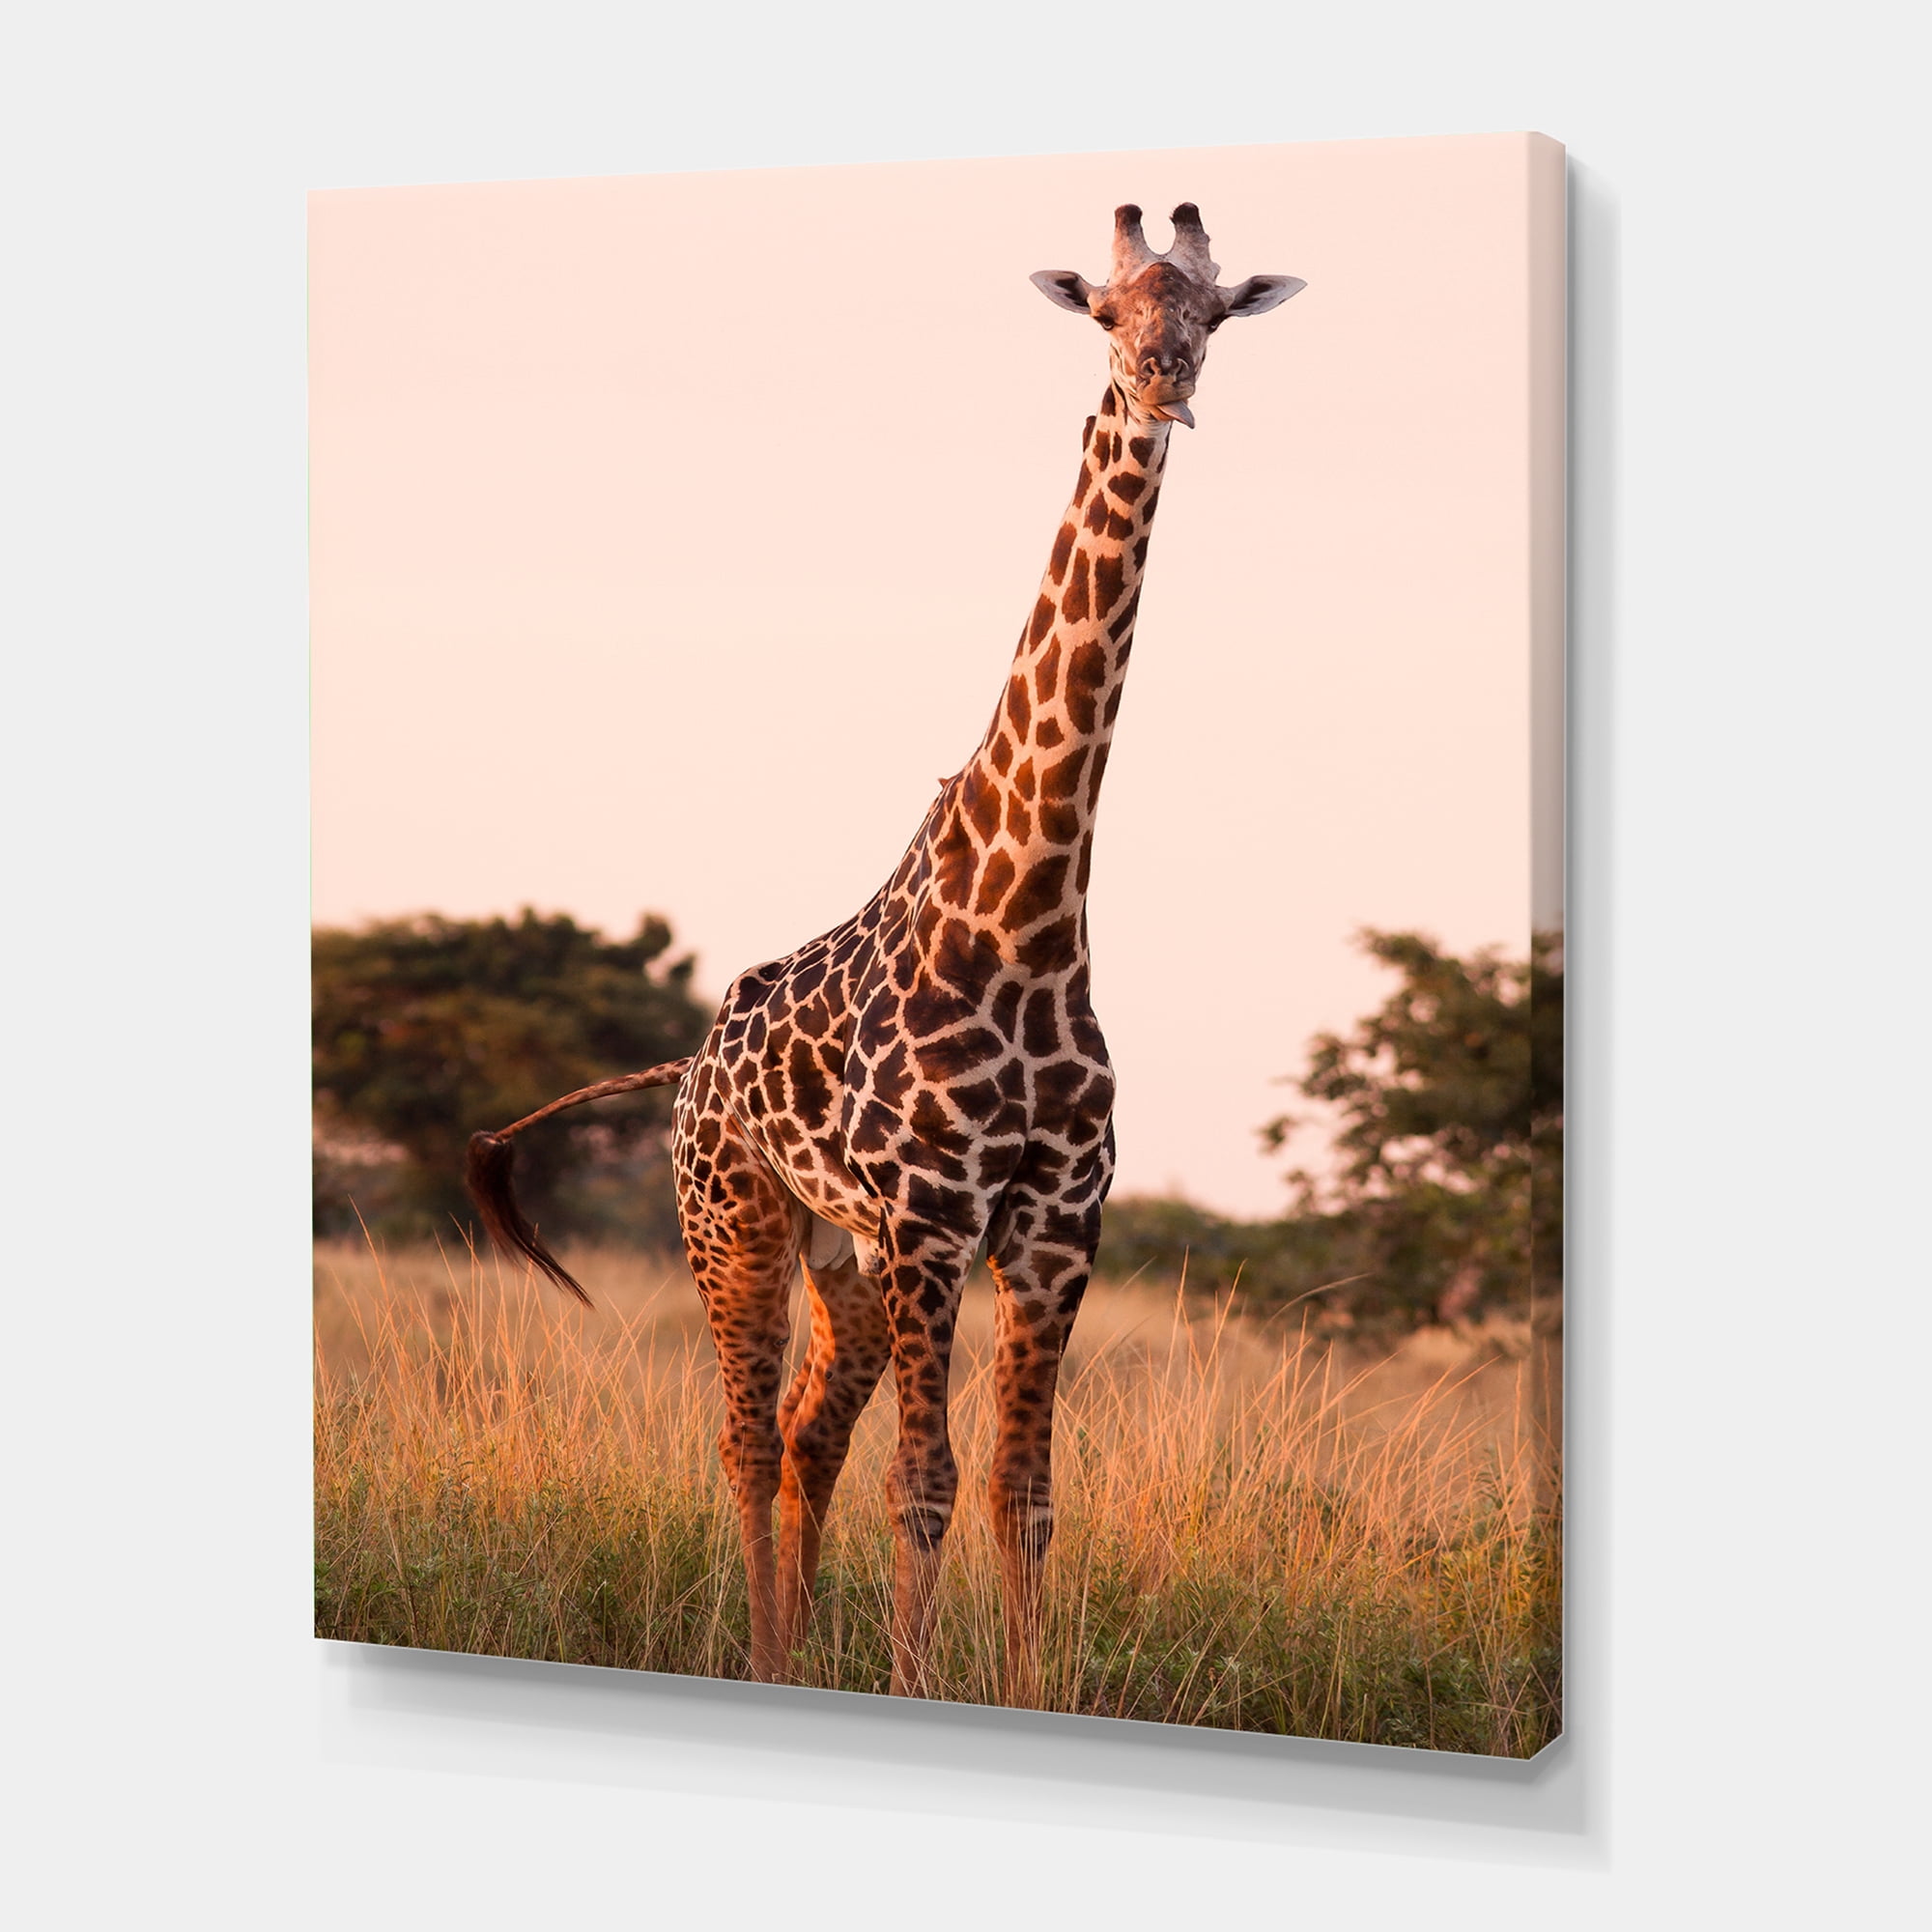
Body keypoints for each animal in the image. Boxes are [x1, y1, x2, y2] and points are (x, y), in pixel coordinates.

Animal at [467, 203, 1303, 1703]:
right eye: (1106, 313)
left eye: (1211, 312)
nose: (1164, 383)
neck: (1026, 922)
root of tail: (686, 1066)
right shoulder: (931, 1218)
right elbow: (926, 1484)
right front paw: (918, 1686)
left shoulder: (1050, 1226)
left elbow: (1022, 1496)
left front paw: (1021, 1691)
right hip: (734, 1222)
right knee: (747, 1439)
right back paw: (758, 1655)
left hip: (839, 1257)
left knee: (809, 1434)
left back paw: (799, 1656)